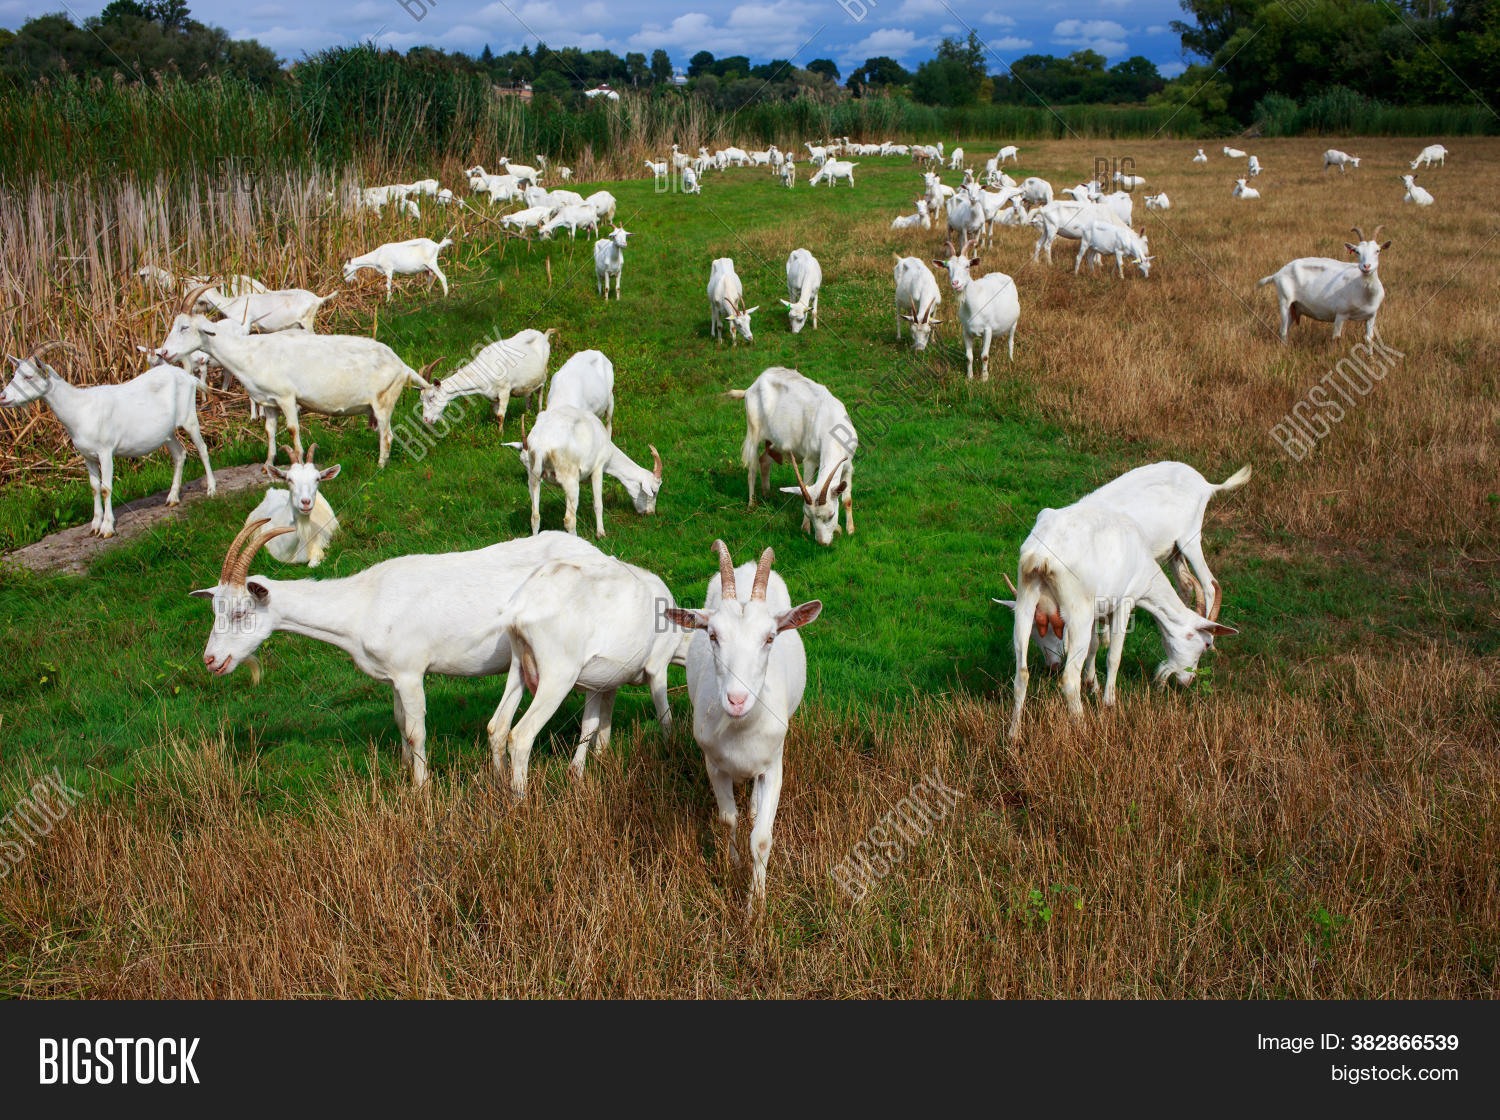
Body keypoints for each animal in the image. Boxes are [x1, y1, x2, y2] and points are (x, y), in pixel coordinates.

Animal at [1, 342, 215, 537]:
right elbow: (94, 488)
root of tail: (188, 377)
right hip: (167, 432)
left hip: (189, 418)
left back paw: (211, 490)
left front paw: (107, 528)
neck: (79, 408)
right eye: (14, 375)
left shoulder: (105, 452)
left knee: (203, 449)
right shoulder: (87, 456)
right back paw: (172, 497)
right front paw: (94, 525)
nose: (2, 397)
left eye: (28, 376)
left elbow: (106, 489)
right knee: (179, 454)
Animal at [420, 327, 554, 428]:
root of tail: (544, 335)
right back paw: (528, 413)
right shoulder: (492, 397)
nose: (426, 419)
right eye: (421, 399)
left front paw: (500, 436)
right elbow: (496, 414)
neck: (484, 370)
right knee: (529, 395)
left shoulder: (504, 390)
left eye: (432, 397)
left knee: (540, 392)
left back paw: (539, 412)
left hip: (543, 375)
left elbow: (500, 416)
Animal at [665, 542, 822, 913]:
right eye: (712, 635)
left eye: (770, 638)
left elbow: (762, 838)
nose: (737, 699)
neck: (740, 730)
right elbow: (728, 820)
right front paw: (733, 866)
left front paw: (756, 906)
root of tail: (748, 566)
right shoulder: (713, 763)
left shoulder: (774, 765)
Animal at [729, 365, 856, 543]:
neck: (831, 426)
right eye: (807, 514)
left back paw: (767, 495)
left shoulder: (848, 465)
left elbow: (847, 500)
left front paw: (850, 530)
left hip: (774, 441)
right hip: (753, 430)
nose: (822, 543)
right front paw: (805, 529)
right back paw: (751, 504)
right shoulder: (810, 460)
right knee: (752, 469)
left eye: (831, 515)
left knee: (764, 460)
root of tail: (751, 387)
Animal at [1257, 225, 1390, 343]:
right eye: (1357, 251)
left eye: (1378, 251)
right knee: (1283, 331)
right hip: (1285, 301)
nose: (1366, 266)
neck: (1364, 292)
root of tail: (1277, 274)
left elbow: (1369, 339)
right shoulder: (1340, 314)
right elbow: (1336, 338)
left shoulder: (1371, 317)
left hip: (1294, 307)